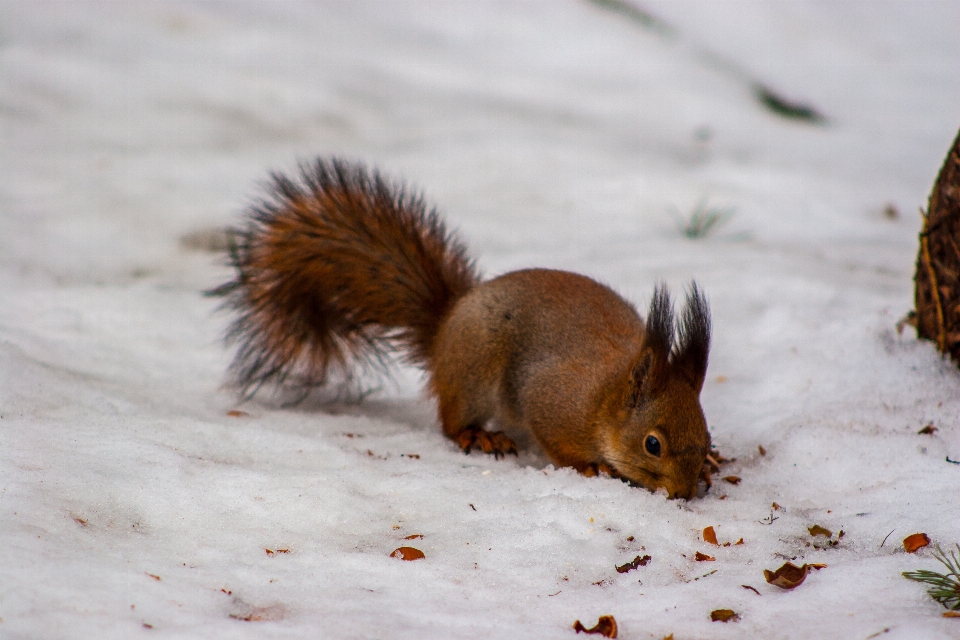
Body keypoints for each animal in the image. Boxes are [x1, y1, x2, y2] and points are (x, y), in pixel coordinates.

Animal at [218, 159, 712, 500]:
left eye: (705, 435)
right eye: (652, 444)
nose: (684, 493)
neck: (606, 398)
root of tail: (446, 325)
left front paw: (710, 465)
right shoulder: (552, 400)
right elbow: (556, 440)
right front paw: (592, 468)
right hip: (475, 370)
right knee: (451, 420)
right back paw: (477, 434)